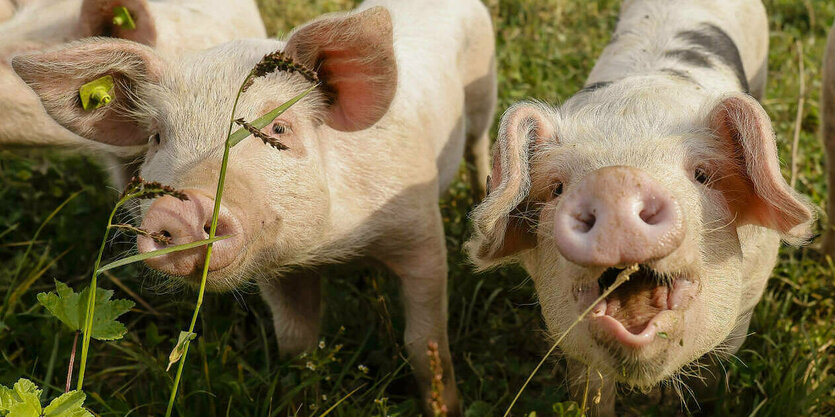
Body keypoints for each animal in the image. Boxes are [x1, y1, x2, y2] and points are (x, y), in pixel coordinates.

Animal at [470, 0, 816, 412]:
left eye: (702, 175)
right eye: (556, 187)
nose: (617, 180)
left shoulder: (752, 291)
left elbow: (717, 364)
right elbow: (591, 387)